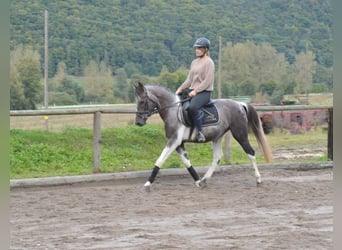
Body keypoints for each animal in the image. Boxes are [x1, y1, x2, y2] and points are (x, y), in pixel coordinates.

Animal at [134, 82, 272, 191]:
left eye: (142, 101)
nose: (138, 123)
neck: (172, 110)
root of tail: (240, 104)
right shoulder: (179, 143)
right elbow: (187, 163)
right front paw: (198, 181)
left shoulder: (173, 141)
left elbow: (160, 160)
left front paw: (147, 184)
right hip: (217, 137)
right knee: (217, 157)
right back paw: (205, 179)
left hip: (240, 134)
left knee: (250, 152)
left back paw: (258, 179)